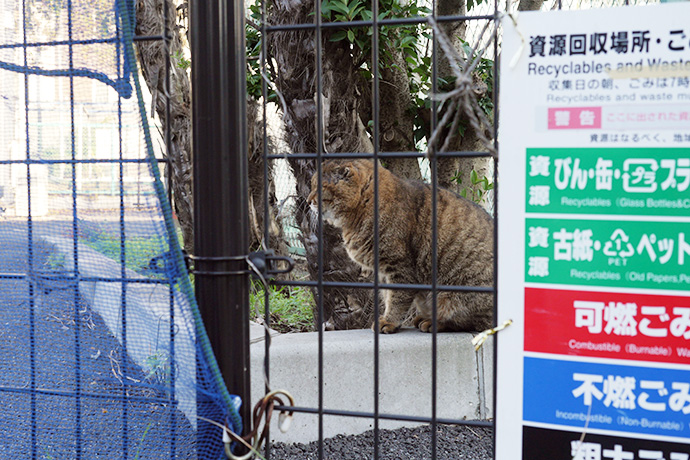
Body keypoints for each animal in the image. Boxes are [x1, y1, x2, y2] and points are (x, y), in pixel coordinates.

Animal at [306, 160, 490, 332]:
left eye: (318, 187)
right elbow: (388, 295)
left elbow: (397, 298)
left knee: (468, 323)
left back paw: (433, 322)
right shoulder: (383, 271)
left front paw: (389, 321)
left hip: (453, 296)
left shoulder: (399, 266)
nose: (307, 201)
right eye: (311, 186)